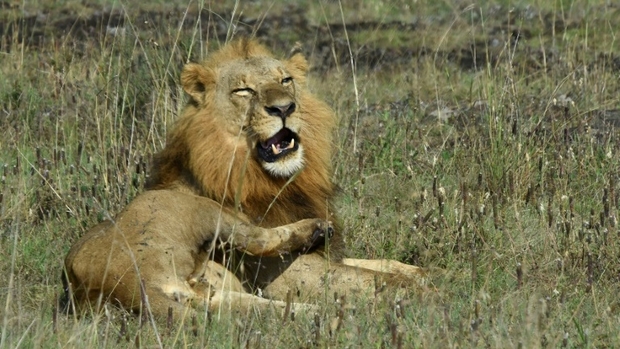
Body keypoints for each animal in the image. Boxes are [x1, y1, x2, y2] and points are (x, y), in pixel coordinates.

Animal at [64, 38, 426, 318]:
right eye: (244, 90)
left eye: (285, 80)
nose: (284, 108)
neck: (275, 180)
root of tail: (125, 285)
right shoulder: (287, 273)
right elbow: (379, 280)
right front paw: (426, 291)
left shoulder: (328, 258)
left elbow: (387, 265)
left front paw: (416, 272)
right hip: (199, 212)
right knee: (260, 240)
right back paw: (316, 238)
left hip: (216, 290)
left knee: (244, 309)